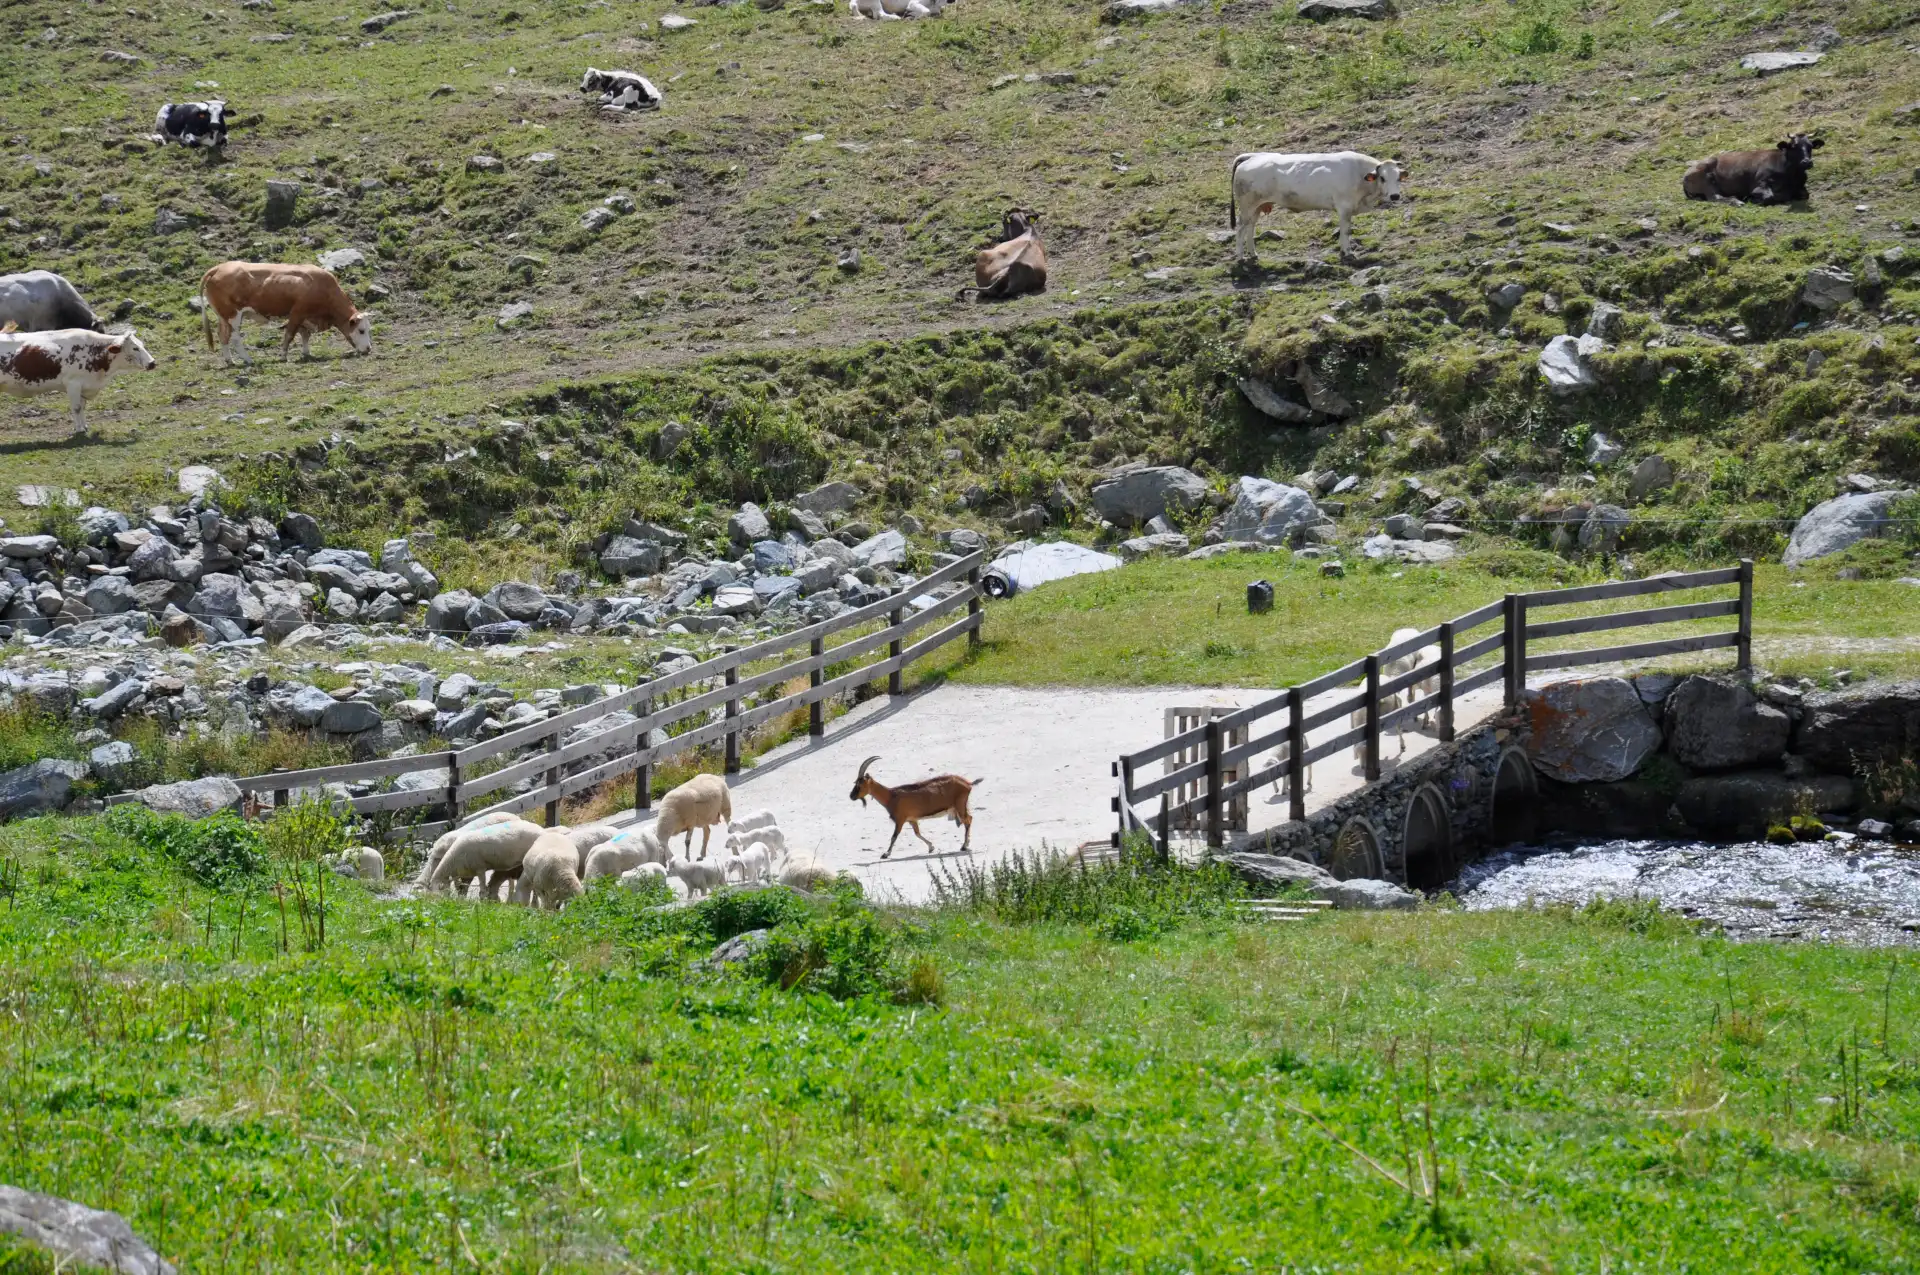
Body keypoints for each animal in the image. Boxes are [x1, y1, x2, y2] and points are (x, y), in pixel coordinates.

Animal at [0, 326, 155, 435]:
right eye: (135, 348)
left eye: (142, 344)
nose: (152, 363)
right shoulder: (73, 384)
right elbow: (76, 407)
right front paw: (79, 429)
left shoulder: (84, 386)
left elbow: (82, 407)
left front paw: (85, 426)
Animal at [200, 261, 372, 366]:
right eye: (361, 330)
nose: (369, 349)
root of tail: (220, 267)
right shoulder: (297, 313)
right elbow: (289, 335)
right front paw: (283, 356)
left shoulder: (305, 318)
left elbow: (305, 335)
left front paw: (306, 353)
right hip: (234, 315)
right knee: (235, 338)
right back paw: (248, 360)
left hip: (223, 316)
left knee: (223, 336)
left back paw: (230, 361)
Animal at [852, 756, 983, 856]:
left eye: (860, 784)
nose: (851, 796)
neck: (891, 795)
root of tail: (967, 783)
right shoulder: (912, 819)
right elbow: (917, 833)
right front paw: (931, 847)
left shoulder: (900, 820)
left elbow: (894, 836)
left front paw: (886, 854)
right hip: (960, 806)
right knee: (969, 819)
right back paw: (965, 845)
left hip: (960, 805)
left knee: (968, 820)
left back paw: (964, 846)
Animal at [1689, 133, 1820, 205]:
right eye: (1794, 146)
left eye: (1810, 146)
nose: (1807, 162)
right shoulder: (1759, 184)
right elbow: (1769, 197)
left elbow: (1805, 194)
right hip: (1707, 181)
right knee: (1714, 197)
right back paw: (1737, 201)